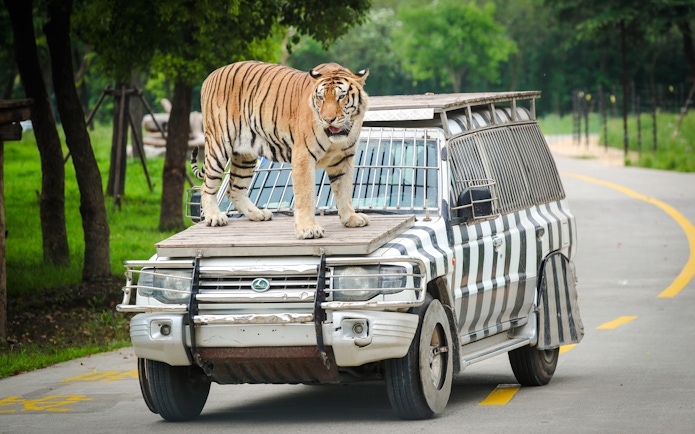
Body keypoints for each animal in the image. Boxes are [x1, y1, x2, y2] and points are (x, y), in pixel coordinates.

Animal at [190, 60, 370, 239]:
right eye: (321, 98)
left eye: (341, 97)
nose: (328, 119)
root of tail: (211, 75)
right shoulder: (303, 155)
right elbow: (306, 195)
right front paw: (308, 229)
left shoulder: (343, 158)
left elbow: (344, 190)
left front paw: (351, 218)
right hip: (219, 144)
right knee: (207, 186)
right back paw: (214, 217)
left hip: (244, 154)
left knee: (234, 189)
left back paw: (258, 213)